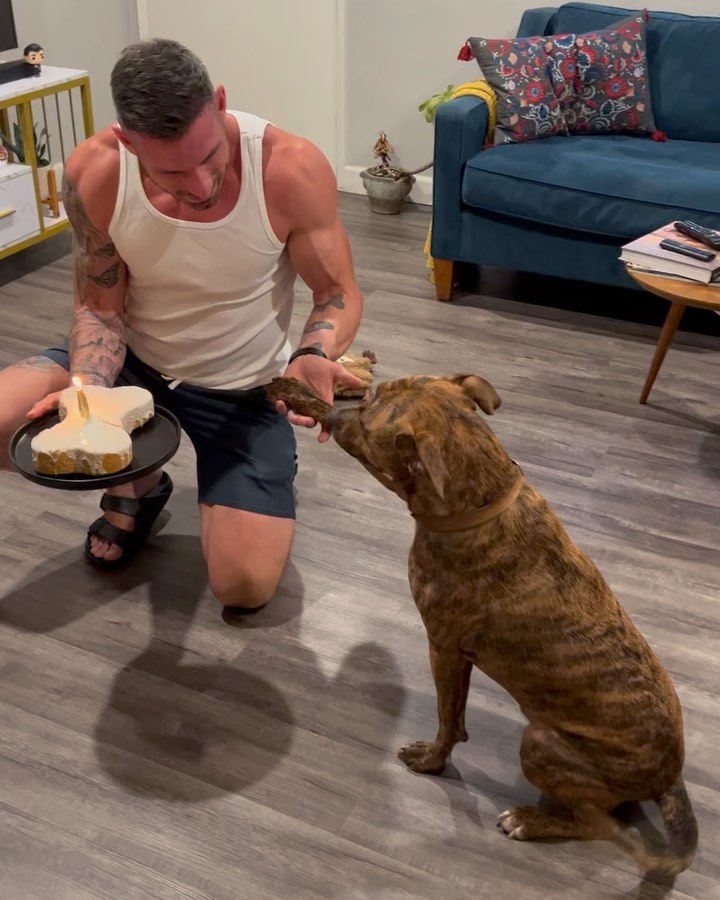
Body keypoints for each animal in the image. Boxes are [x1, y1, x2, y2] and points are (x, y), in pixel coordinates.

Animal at [265, 372, 698, 878]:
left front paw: (431, 762)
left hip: (539, 741)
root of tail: (670, 777)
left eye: (369, 412)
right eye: (374, 393)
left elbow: (448, 721)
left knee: (595, 823)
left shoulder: (445, 649)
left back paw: (530, 821)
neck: (476, 501)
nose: (335, 413)